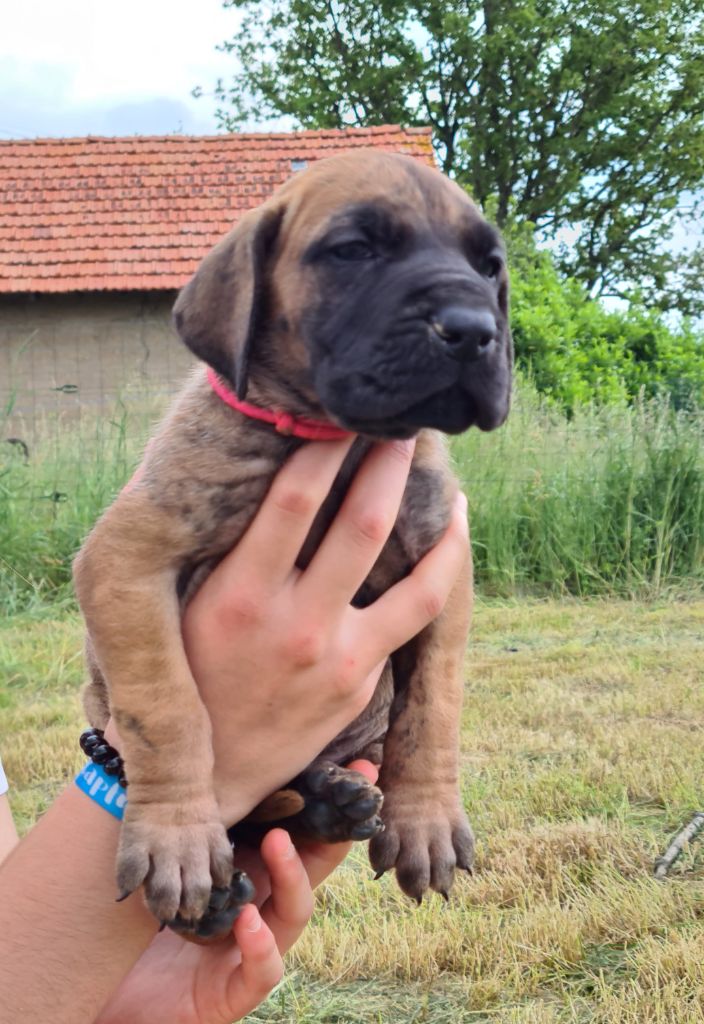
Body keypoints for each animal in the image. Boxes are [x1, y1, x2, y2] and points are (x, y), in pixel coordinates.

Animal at [72, 148, 511, 937]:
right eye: (355, 250)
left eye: (490, 267)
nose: (471, 330)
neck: (342, 441)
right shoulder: (127, 562)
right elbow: (166, 708)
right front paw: (179, 837)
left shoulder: (443, 574)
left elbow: (433, 706)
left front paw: (427, 820)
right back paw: (227, 887)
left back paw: (330, 800)